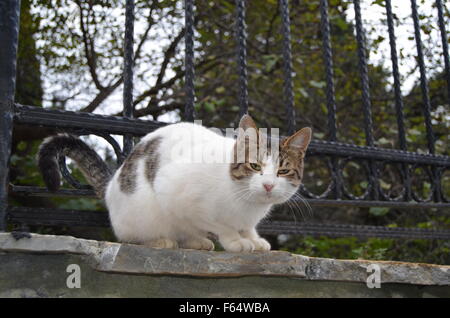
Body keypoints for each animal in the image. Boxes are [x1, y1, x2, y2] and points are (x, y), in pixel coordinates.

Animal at [38, 115, 312, 252]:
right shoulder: (178, 196)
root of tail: (111, 186)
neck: (246, 203)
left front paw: (252, 238)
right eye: (255, 166)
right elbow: (219, 224)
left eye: (283, 170)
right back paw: (161, 241)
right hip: (141, 214)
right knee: (128, 237)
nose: (268, 186)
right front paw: (235, 240)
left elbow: (246, 227)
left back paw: (196, 241)